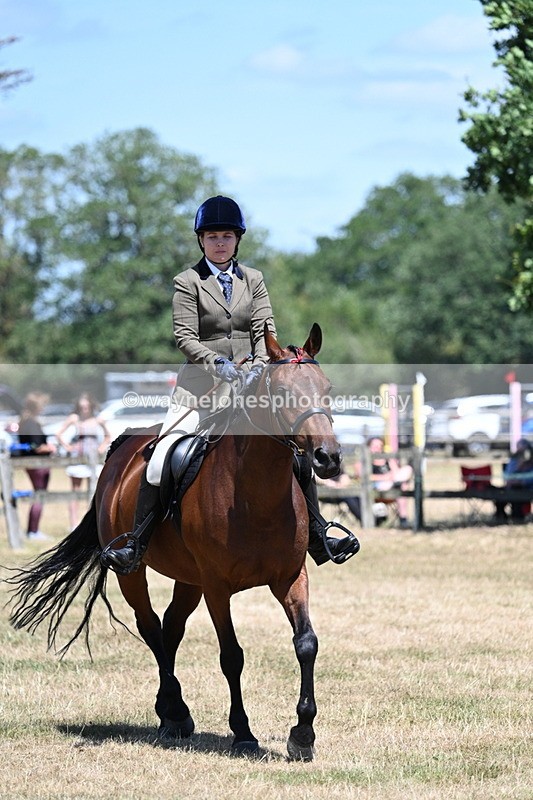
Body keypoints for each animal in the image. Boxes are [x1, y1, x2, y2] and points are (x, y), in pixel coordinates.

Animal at [6, 324, 349, 761]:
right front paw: (243, 733)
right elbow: (231, 656)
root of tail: (123, 446)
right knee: (151, 627)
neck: (255, 493)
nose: (328, 458)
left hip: (189, 579)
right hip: (134, 572)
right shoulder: (218, 587)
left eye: (327, 388)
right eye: (285, 393)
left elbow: (306, 643)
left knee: (171, 627)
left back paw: (170, 713)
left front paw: (303, 735)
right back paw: (176, 711)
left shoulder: (290, 577)